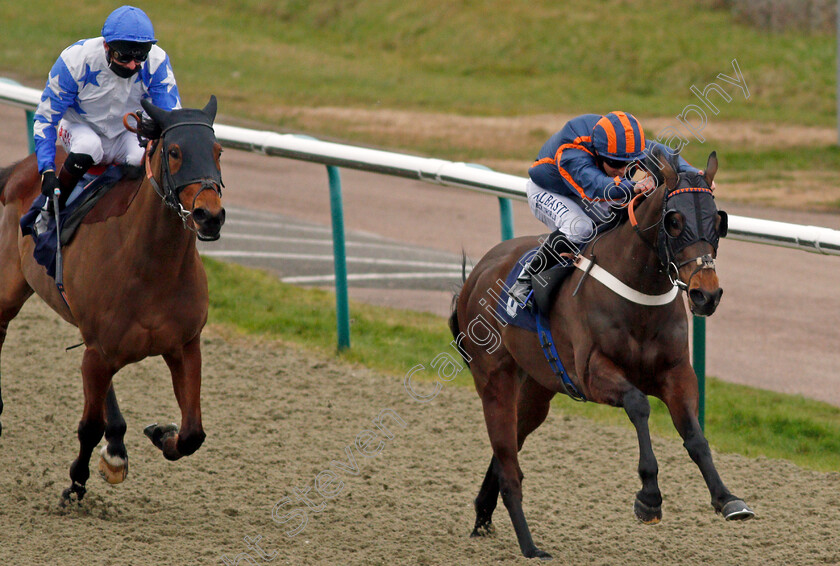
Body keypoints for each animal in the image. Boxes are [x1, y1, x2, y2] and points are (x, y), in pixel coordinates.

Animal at [0, 95, 226, 504]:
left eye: (218, 152)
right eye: (174, 152)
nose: (209, 215)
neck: (153, 266)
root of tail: (21, 168)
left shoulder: (184, 345)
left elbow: (192, 433)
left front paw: (160, 434)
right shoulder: (100, 352)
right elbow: (89, 427)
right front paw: (76, 482)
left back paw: (118, 446)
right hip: (10, 288)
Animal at [452, 152, 756, 564]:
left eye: (718, 221)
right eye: (674, 221)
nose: (705, 295)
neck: (639, 295)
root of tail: (478, 275)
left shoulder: (677, 374)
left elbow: (695, 436)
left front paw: (727, 499)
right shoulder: (593, 375)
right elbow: (639, 405)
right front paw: (649, 498)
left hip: (536, 391)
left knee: (508, 449)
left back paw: (484, 516)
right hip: (495, 381)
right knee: (508, 461)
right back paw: (530, 547)